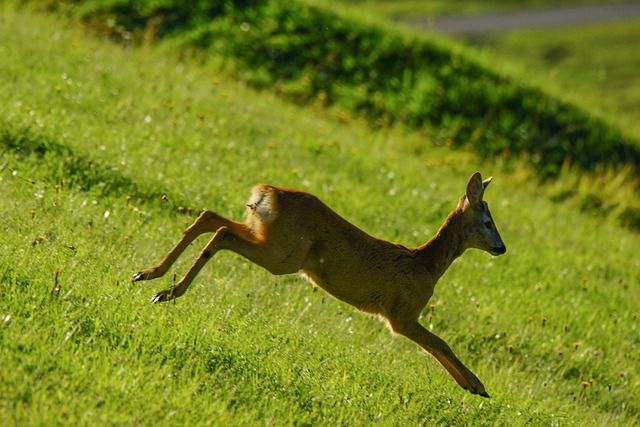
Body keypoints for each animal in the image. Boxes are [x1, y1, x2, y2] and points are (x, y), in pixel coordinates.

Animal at [134, 171, 504, 398]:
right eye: (488, 222)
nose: (501, 248)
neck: (426, 265)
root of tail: (268, 194)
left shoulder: (403, 317)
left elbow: (437, 346)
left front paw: (471, 386)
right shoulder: (401, 315)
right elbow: (441, 343)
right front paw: (478, 386)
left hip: (264, 233)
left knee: (210, 217)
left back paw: (149, 275)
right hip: (284, 255)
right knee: (222, 233)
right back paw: (168, 291)